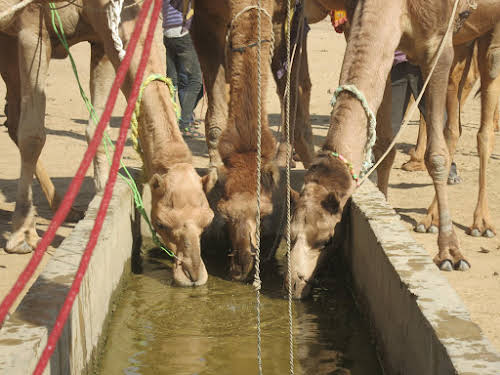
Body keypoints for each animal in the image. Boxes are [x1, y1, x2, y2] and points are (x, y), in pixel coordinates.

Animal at [0, 0, 213, 288]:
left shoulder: (100, 38)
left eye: (208, 220)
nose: (193, 275)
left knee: (11, 117)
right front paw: (22, 234)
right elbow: (33, 135)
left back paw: (66, 209)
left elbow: (97, 126)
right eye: (161, 223)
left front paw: (101, 200)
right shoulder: (31, 27)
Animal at [288, 0, 500, 300]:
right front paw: (385, 209)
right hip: (465, 43)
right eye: (292, 234)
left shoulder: (438, 44)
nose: (295, 284)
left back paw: (480, 224)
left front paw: (450, 252)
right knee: (455, 123)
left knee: (480, 127)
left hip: (489, 33)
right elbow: (384, 143)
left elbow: (436, 155)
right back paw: (430, 219)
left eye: (326, 239)